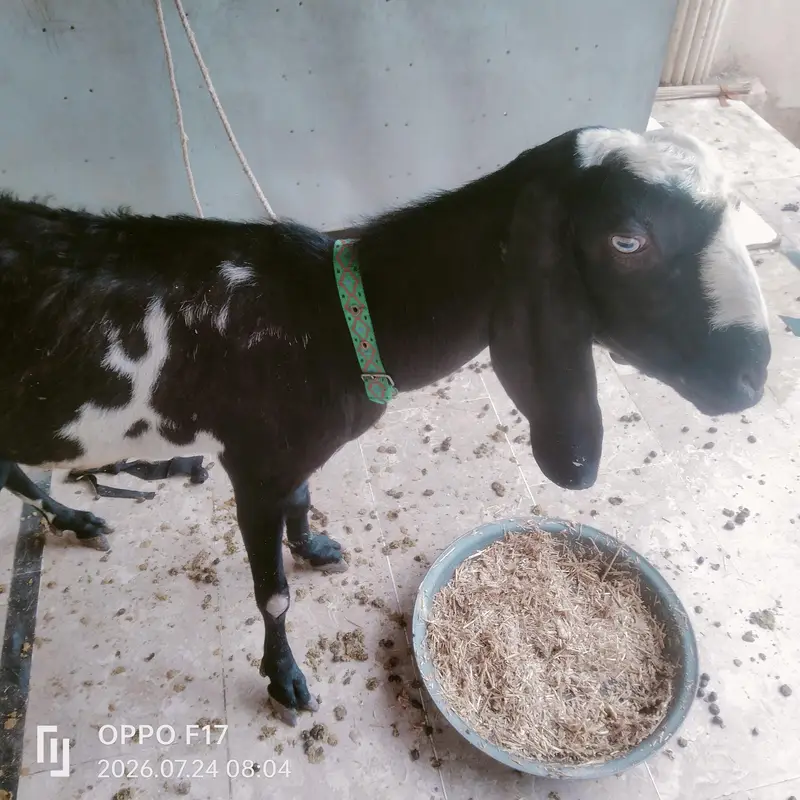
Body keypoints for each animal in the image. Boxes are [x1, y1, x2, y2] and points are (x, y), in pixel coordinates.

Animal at [0, 126, 770, 724]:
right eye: (628, 240)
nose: (752, 376)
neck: (335, 317)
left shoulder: (289, 461)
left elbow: (305, 497)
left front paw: (314, 546)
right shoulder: (254, 464)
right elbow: (273, 593)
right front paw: (286, 680)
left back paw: (77, 516)